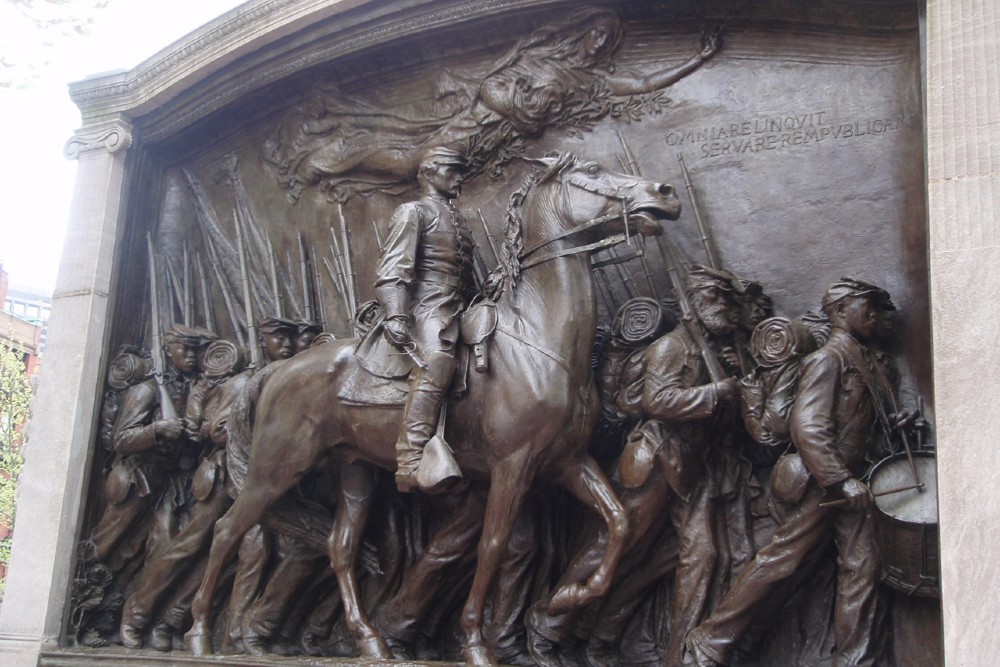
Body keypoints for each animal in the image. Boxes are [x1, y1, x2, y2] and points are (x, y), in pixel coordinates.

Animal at [184, 153, 684, 667]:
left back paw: (371, 640)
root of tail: (277, 370)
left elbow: (619, 520)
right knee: (227, 530)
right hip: (277, 467)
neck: (537, 337)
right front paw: (476, 643)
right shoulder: (513, 466)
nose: (665, 192)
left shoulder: (568, 462)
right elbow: (492, 547)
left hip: (355, 471)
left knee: (339, 547)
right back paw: (201, 633)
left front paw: (567, 597)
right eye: (594, 171)